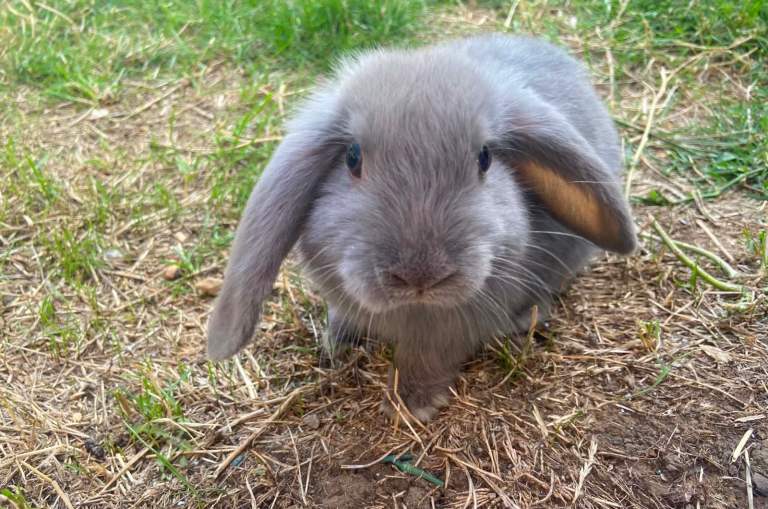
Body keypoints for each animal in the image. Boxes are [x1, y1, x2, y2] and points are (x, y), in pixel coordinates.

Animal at [206, 34, 636, 422]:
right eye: (352, 157)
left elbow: (426, 359)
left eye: (484, 158)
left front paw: (409, 406)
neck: (414, 309)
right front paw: (337, 343)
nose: (421, 276)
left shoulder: (451, 327)